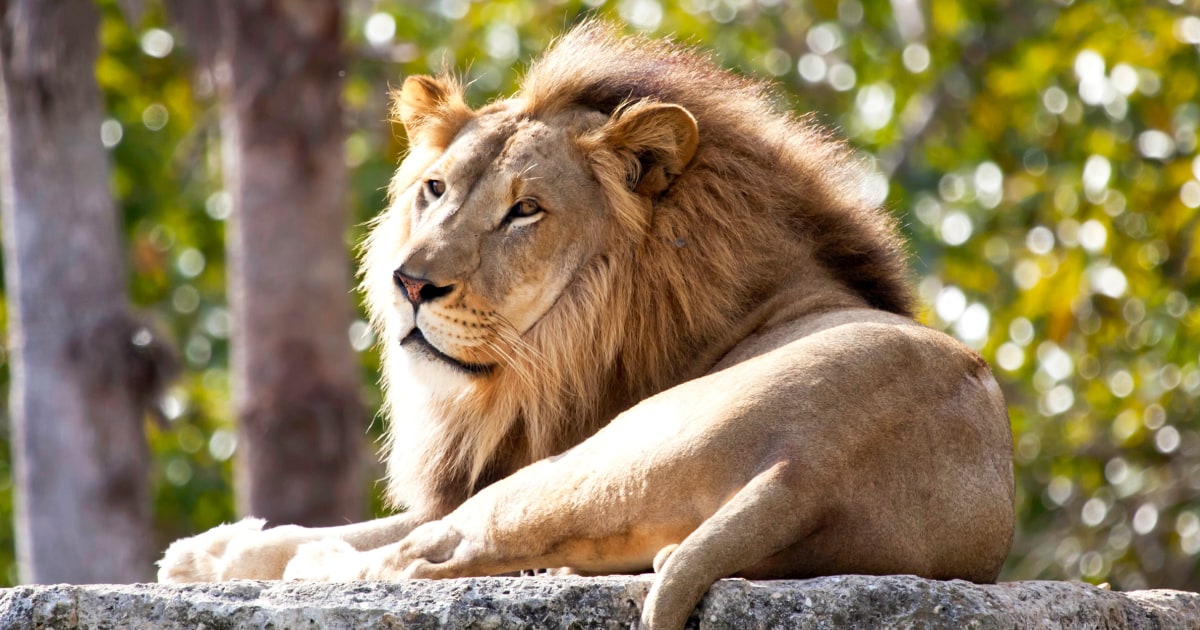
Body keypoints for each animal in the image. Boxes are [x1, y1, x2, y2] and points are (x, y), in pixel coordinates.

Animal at [157, 22, 1015, 629]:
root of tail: (806, 476)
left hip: (584, 462)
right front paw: (204, 554)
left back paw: (317, 567)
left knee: (420, 561)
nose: (411, 283)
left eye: (525, 210)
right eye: (435, 189)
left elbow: (374, 531)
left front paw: (215, 555)